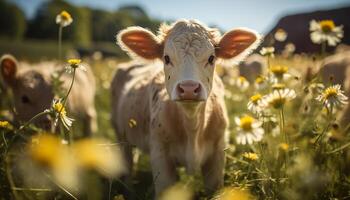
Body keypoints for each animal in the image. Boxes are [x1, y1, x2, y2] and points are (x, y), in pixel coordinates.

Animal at [110, 19, 262, 196]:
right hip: (120, 134)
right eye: (166, 58)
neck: (192, 127)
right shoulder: (160, 156)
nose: (189, 88)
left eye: (211, 58)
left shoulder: (217, 156)